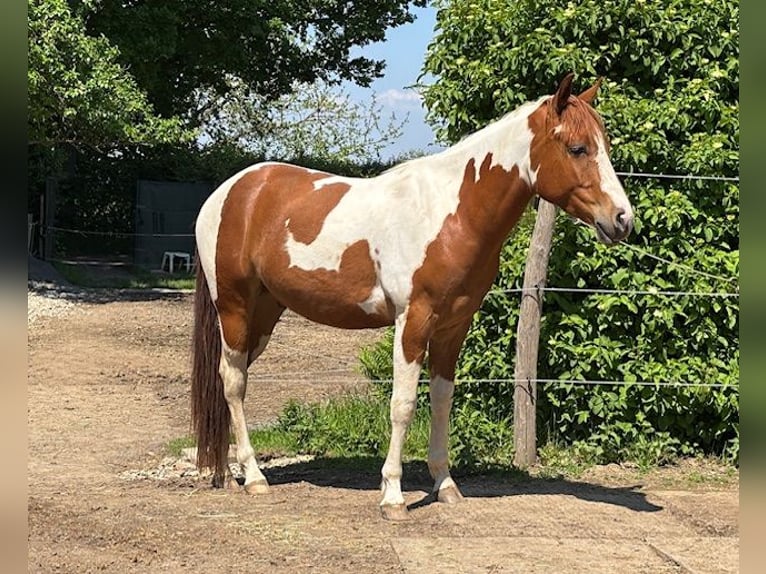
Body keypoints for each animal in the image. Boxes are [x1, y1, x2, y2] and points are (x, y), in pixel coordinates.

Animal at [190, 73, 634, 521]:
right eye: (577, 148)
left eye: (607, 145)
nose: (622, 219)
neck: (450, 214)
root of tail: (229, 191)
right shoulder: (413, 321)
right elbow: (402, 405)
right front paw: (393, 497)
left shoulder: (453, 326)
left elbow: (441, 400)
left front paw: (445, 485)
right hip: (235, 307)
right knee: (233, 383)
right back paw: (254, 477)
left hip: (265, 312)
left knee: (231, 378)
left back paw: (228, 473)